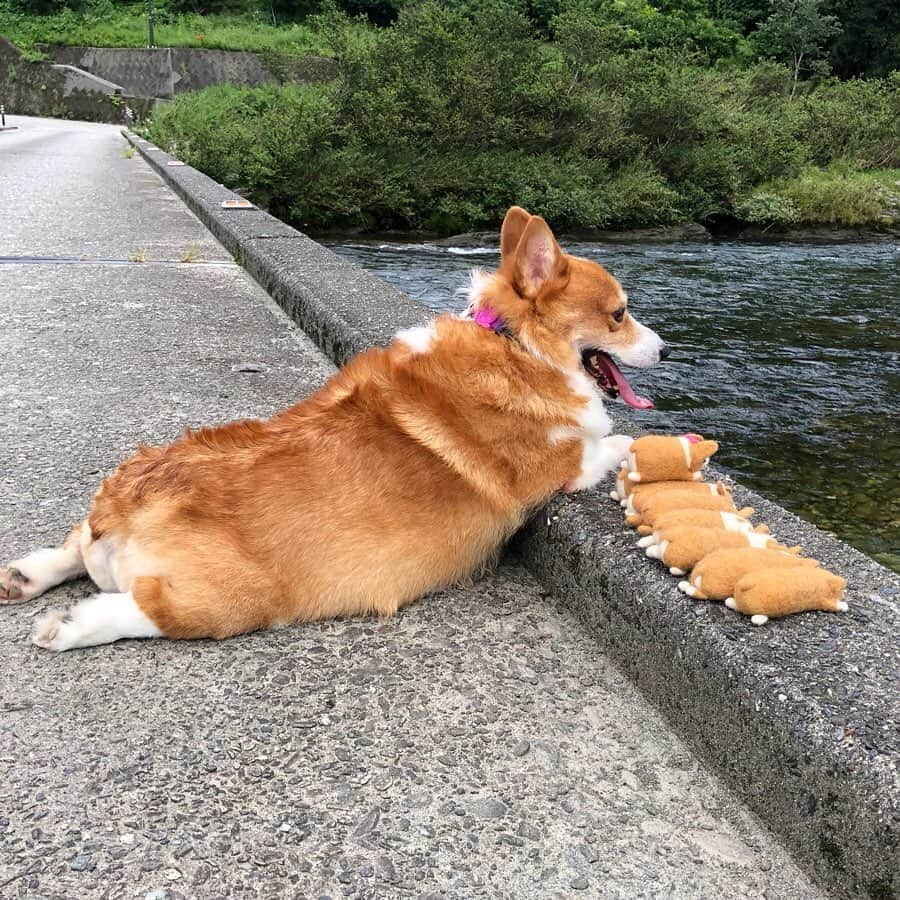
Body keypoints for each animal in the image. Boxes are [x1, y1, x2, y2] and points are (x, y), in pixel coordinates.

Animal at [3, 207, 668, 652]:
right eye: (619, 315)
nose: (665, 349)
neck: (515, 343)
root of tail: (125, 505)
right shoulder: (563, 465)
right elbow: (618, 441)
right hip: (233, 599)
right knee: (152, 609)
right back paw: (70, 625)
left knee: (71, 547)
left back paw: (24, 576)